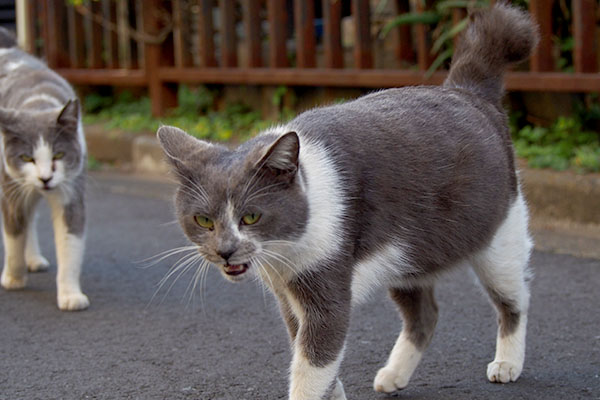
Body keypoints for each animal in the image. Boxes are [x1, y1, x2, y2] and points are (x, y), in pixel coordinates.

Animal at [0, 28, 88, 310]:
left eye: (58, 154)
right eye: (26, 157)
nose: (45, 178)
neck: (36, 104)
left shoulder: (71, 193)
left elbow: (70, 246)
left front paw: (70, 295)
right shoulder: (12, 192)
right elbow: (13, 236)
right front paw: (13, 278)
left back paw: (35, 259)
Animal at [157, 3, 536, 400]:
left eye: (251, 217)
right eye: (203, 220)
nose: (225, 250)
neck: (286, 253)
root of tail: (466, 89)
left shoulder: (326, 288)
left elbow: (312, 363)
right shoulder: (288, 297)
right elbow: (312, 356)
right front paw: (334, 392)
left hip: (499, 239)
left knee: (515, 298)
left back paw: (507, 363)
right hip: (407, 257)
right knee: (425, 312)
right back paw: (393, 375)